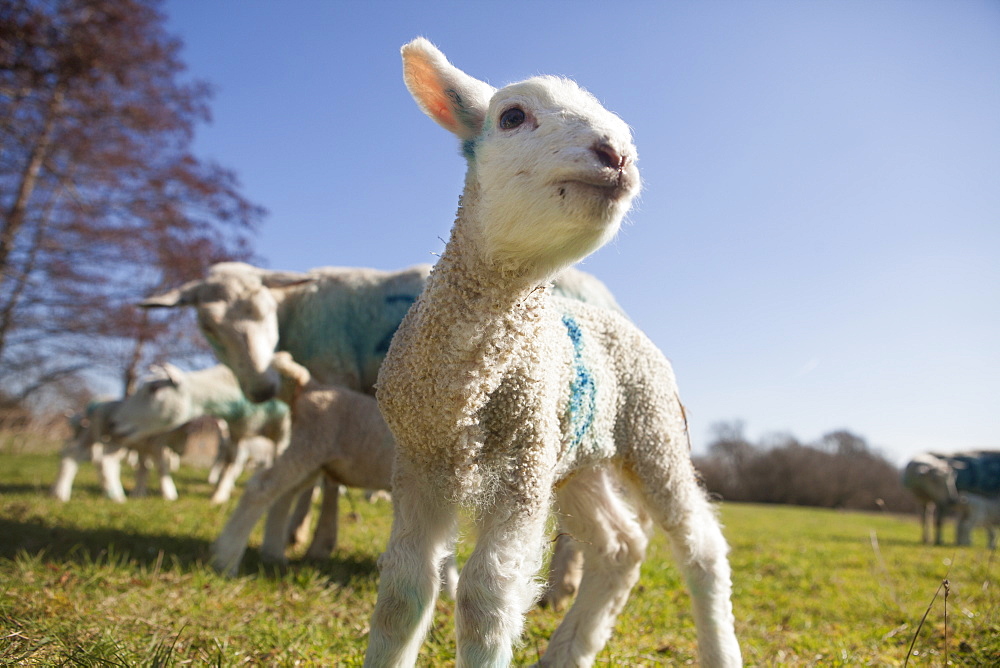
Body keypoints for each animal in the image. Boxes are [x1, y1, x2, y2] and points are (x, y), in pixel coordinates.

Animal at [364, 37, 740, 668]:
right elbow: (402, 594)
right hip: (576, 458)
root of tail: (621, 323)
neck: (467, 392)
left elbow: (484, 597)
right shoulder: (417, 462)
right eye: (511, 116)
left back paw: (718, 648)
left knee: (701, 549)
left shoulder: (522, 466)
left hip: (651, 432)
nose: (616, 153)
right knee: (620, 546)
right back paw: (570, 649)